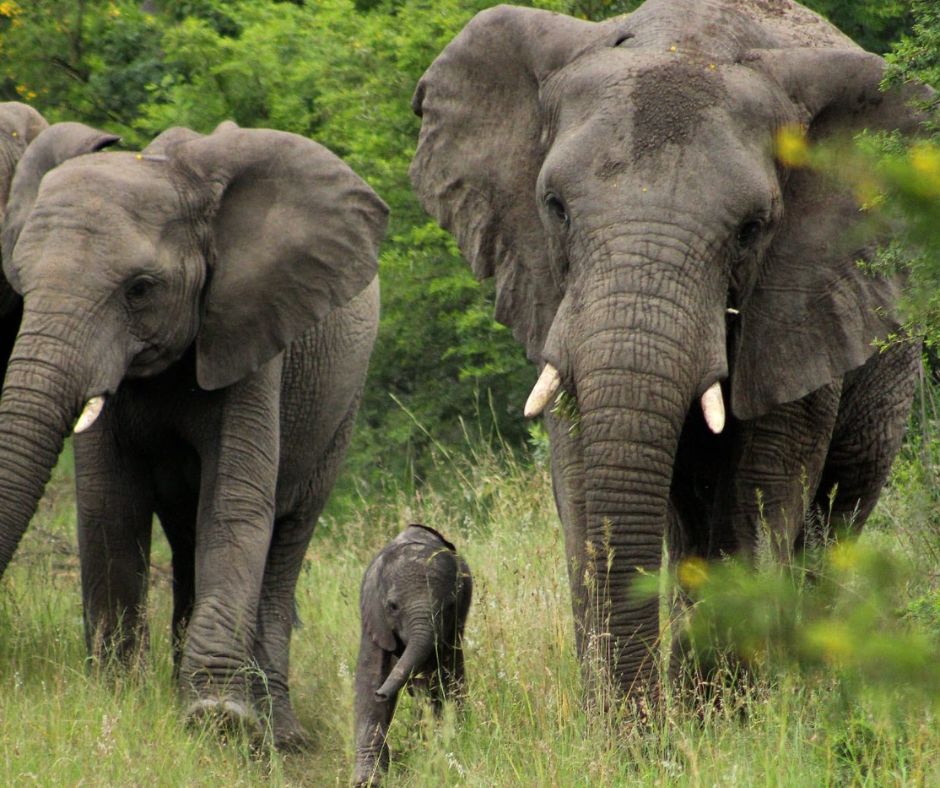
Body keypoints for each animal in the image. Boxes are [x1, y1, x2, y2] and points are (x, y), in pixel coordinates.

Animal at [0, 119, 388, 749]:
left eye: (139, 288)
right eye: (23, 282)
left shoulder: (251, 330)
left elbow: (235, 502)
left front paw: (217, 718)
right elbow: (109, 506)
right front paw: (119, 698)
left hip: (341, 406)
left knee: (285, 538)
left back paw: (280, 733)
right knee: (188, 540)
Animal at [353, 524, 472, 786]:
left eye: (449, 606)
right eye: (393, 607)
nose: (382, 694)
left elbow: (441, 677)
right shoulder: (373, 615)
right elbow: (370, 677)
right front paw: (367, 781)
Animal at [409, 0, 933, 707]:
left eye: (751, 229)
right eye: (554, 208)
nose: (646, 717)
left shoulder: (796, 299)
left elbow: (761, 488)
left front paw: (728, 709)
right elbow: (582, 477)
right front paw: (627, 723)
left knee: (835, 510)